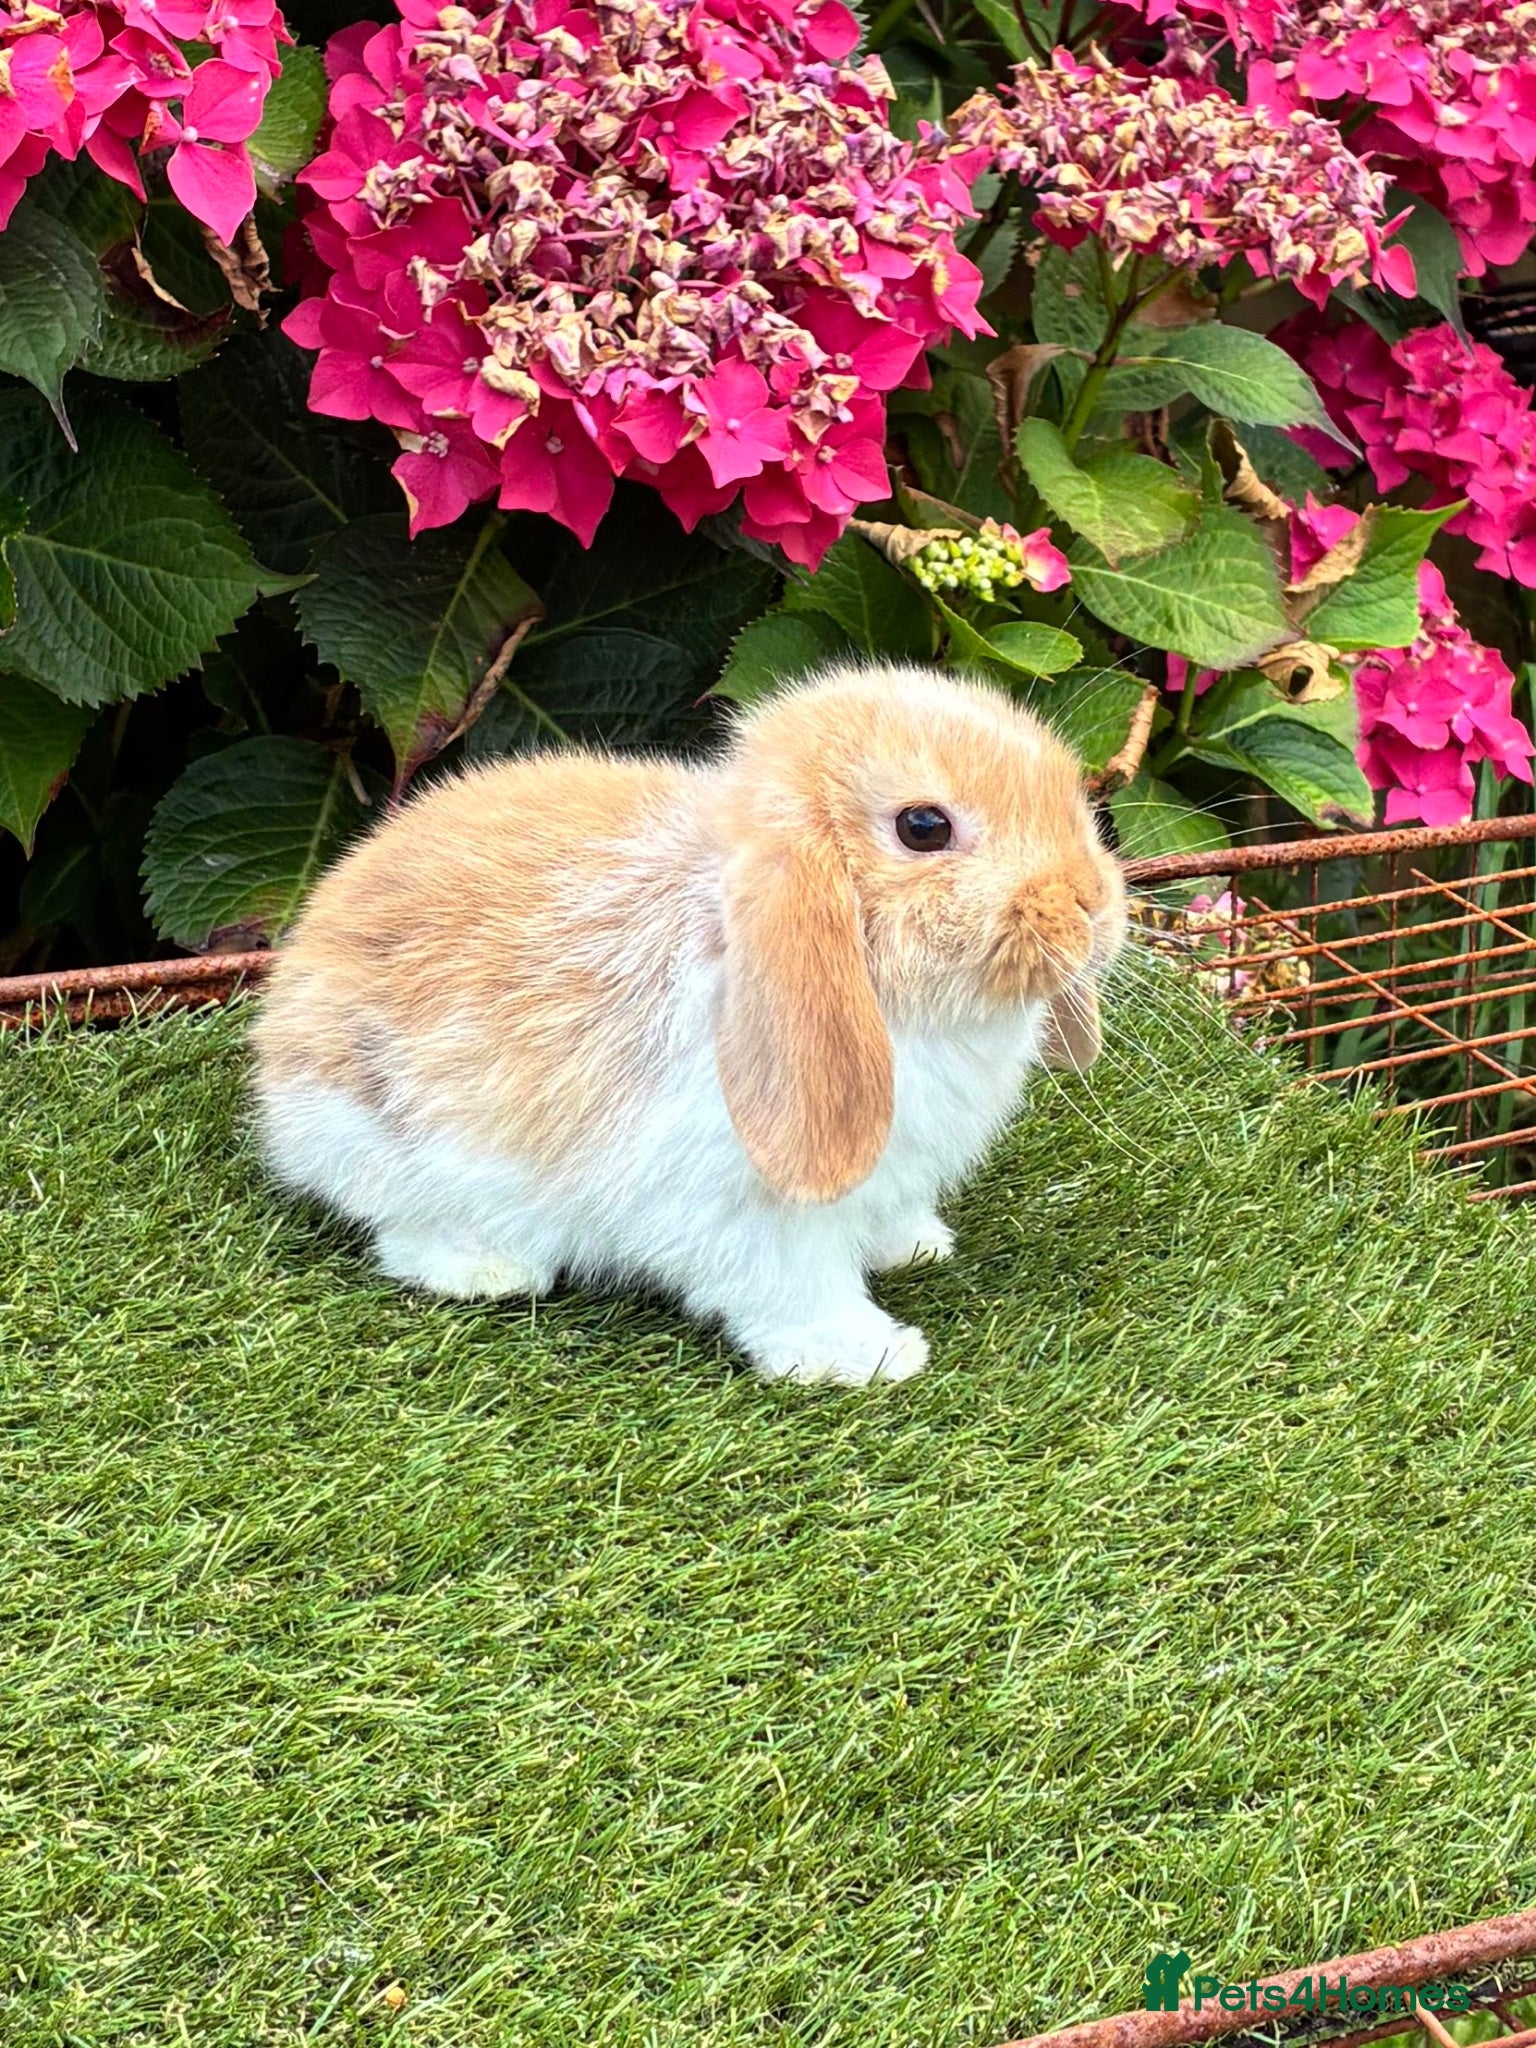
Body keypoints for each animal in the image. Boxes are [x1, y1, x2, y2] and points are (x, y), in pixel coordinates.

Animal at [250, 662, 1127, 1386]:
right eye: (923, 827)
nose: (1094, 905)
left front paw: (913, 1246)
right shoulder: (747, 1208)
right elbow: (796, 1286)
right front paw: (870, 1355)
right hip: (396, 1146)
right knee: (401, 1230)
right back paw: (488, 1270)